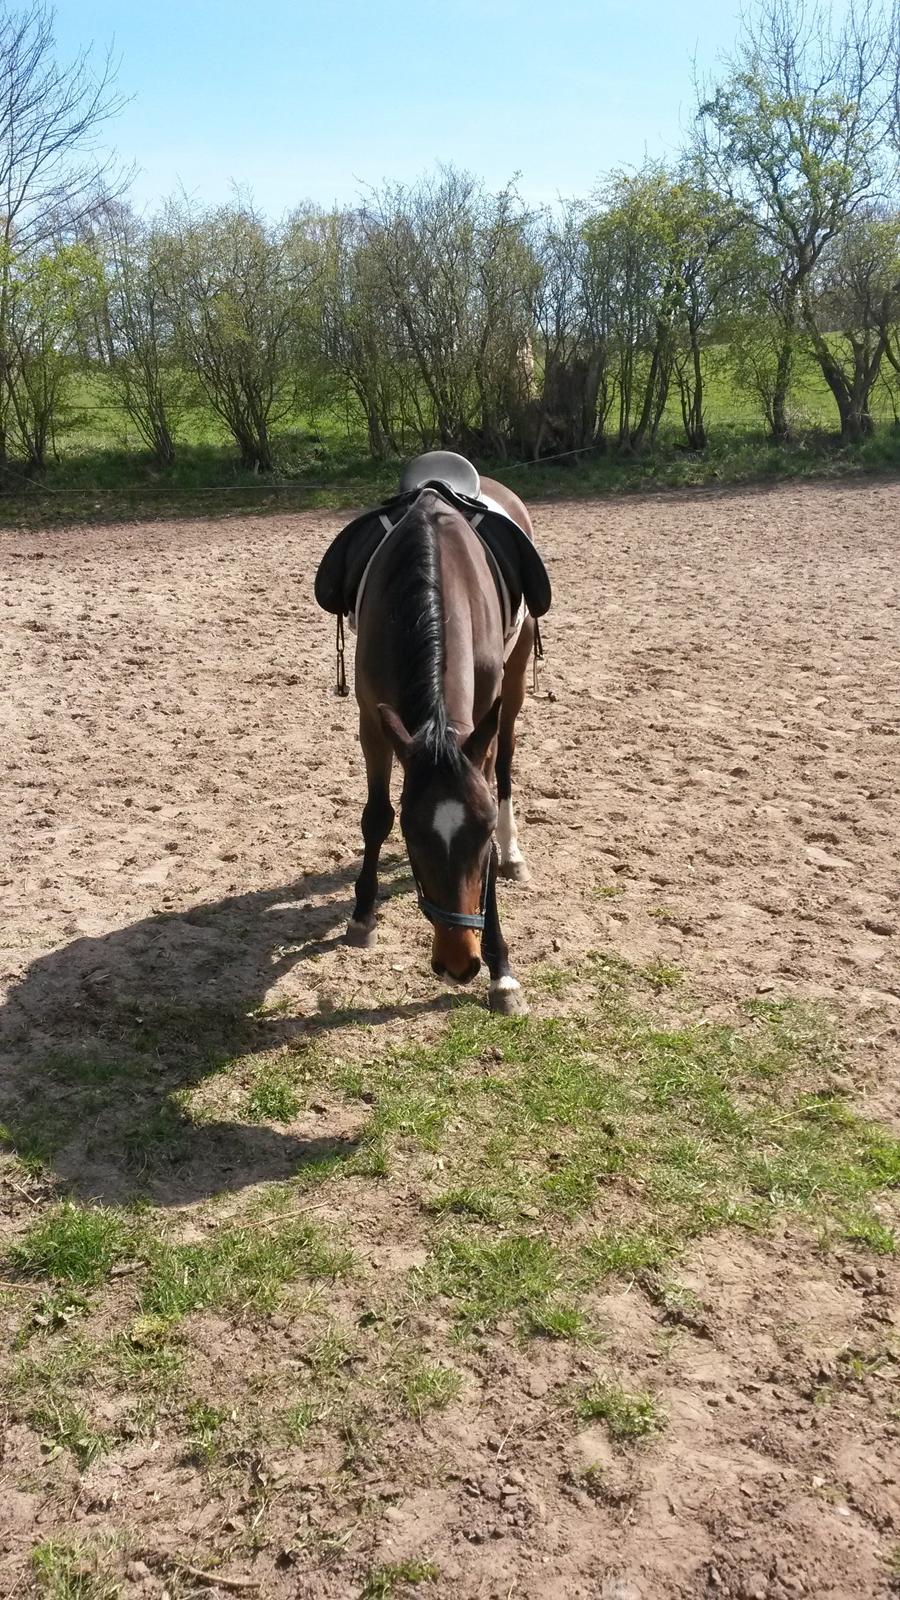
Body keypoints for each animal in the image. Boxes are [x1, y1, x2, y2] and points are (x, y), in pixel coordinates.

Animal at [315, 451, 547, 1011]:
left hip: (515, 678)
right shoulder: (372, 719)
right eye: (414, 835)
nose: (460, 963)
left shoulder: (481, 726)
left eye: (480, 836)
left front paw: (503, 973)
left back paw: (515, 855)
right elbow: (375, 815)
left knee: (506, 765)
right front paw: (362, 916)